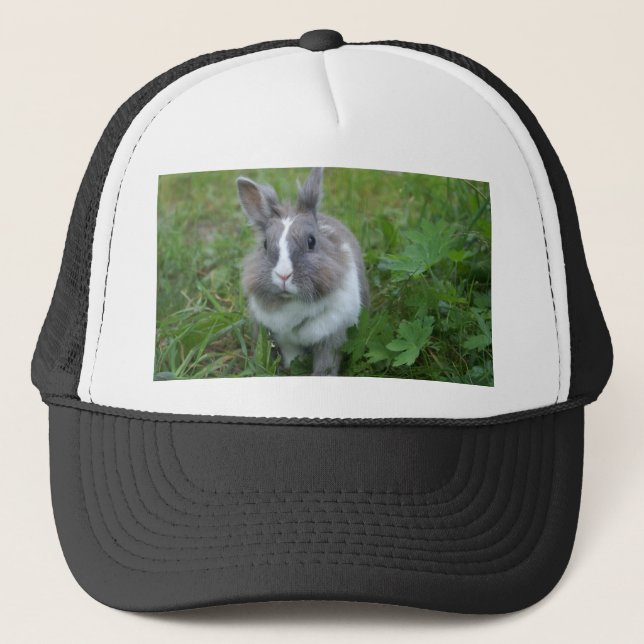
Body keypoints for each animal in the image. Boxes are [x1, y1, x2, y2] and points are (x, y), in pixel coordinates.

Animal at [237, 167, 368, 376]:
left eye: (311, 241)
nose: (283, 275)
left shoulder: (332, 337)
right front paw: (293, 369)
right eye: (265, 245)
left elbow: (327, 364)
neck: (294, 303)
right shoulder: (285, 341)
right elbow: (292, 357)